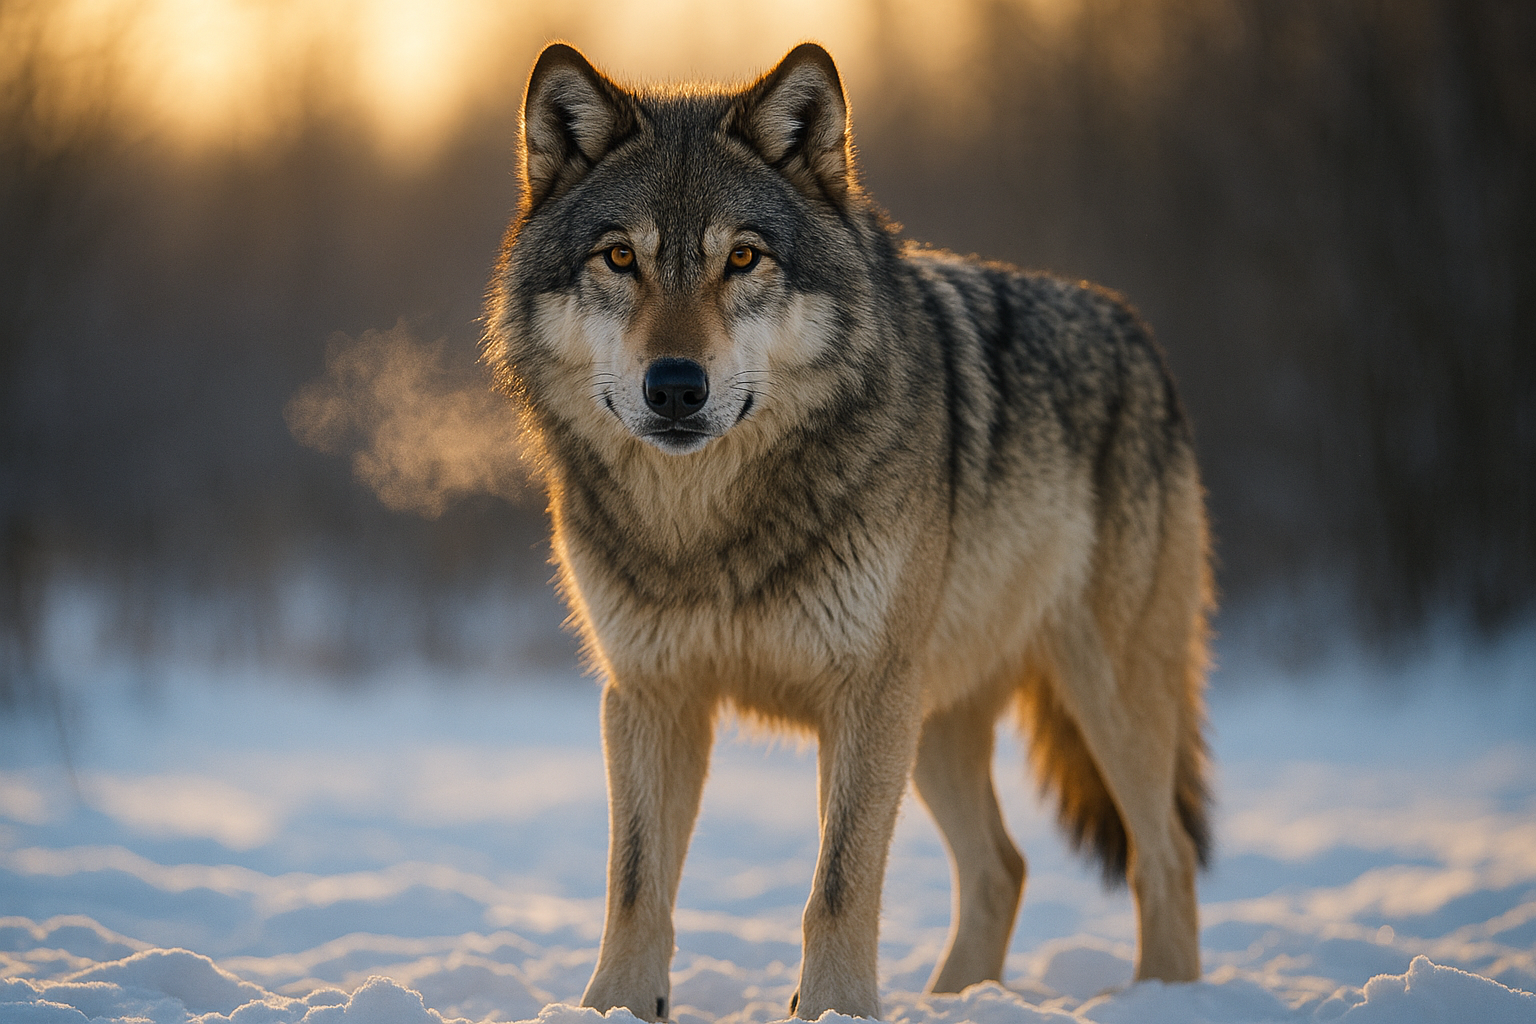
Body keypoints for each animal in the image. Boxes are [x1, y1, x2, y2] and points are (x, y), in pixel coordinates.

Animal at [484, 41, 1213, 1022]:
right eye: (620, 257)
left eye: (742, 258)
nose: (674, 386)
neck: (708, 531)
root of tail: (1141, 337)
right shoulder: (652, 694)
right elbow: (636, 884)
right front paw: (610, 1008)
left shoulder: (863, 696)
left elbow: (838, 885)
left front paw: (833, 1007)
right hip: (936, 718)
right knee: (1004, 867)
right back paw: (957, 997)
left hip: (1098, 700)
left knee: (1164, 858)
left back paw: (1167, 996)